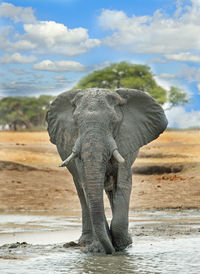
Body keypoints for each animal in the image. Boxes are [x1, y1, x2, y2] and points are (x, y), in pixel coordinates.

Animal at [46, 88, 168, 255]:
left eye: (113, 121)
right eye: (76, 121)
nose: (111, 251)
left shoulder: (124, 140)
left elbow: (122, 184)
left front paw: (123, 244)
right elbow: (87, 188)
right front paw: (99, 249)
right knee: (81, 192)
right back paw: (85, 241)